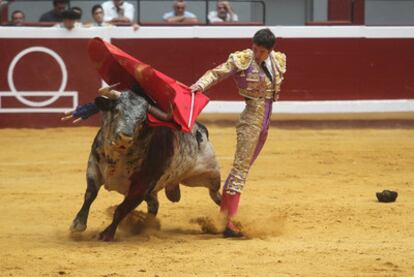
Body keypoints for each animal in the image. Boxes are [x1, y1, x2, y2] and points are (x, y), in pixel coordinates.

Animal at [69, 87, 222, 240]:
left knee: (215, 194)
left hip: (210, 174)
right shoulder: (94, 165)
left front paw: (106, 234)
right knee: (154, 205)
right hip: (154, 190)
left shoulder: (141, 186)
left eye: (142, 120)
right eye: (117, 110)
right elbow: (90, 194)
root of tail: (200, 128)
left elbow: (121, 209)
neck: (118, 156)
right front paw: (78, 224)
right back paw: (146, 225)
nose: (125, 138)